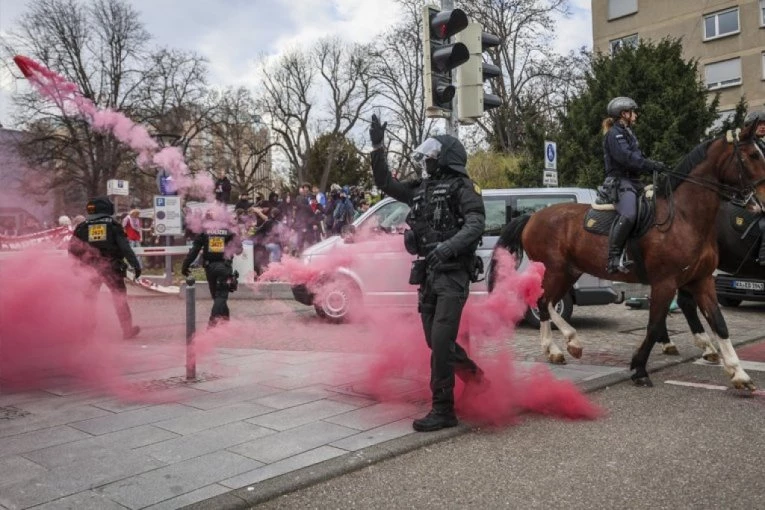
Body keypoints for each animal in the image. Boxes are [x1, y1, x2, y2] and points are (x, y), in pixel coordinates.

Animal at [490, 125, 764, 388]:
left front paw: (739, 373)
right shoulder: (665, 282)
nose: (760, 201)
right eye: (752, 155)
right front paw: (640, 369)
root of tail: (532, 216)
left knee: (547, 302)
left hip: (569, 272)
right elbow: (654, 326)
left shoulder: (703, 280)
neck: (684, 217)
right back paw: (559, 346)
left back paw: (566, 345)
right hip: (555, 270)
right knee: (543, 301)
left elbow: (719, 323)